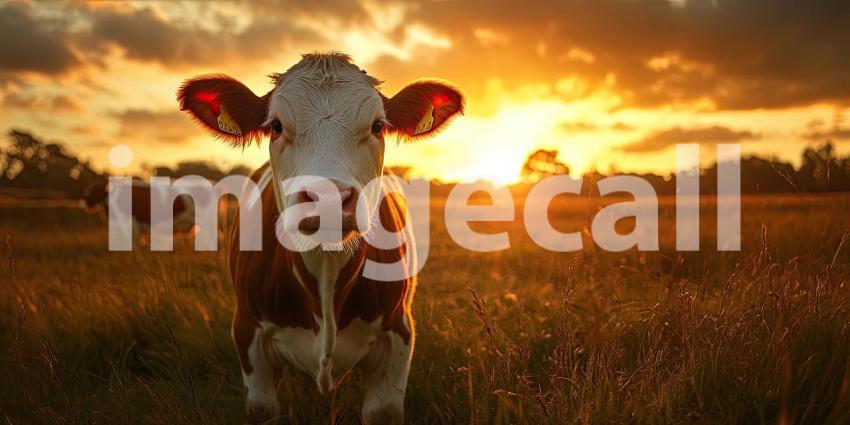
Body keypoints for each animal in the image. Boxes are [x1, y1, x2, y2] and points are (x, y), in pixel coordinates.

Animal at [177, 52, 463, 423]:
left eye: (377, 126)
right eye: (276, 126)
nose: (328, 197)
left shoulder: (399, 332)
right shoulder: (247, 331)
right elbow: (263, 407)